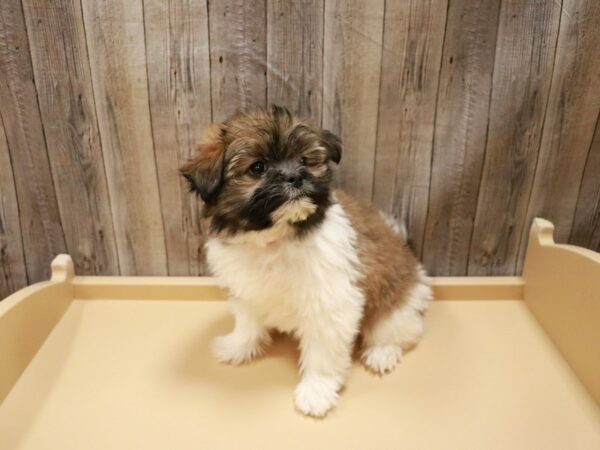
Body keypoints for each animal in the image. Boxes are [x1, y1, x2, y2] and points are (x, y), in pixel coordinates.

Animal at [179, 103, 432, 416]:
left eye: (304, 160)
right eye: (258, 167)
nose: (296, 177)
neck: (275, 239)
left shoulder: (331, 306)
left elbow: (322, 354)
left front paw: (316, 390)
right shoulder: (246, 290)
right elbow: (248, 321)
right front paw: (239, 346)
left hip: (396, 308)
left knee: (398, 331)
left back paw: (382, 353)